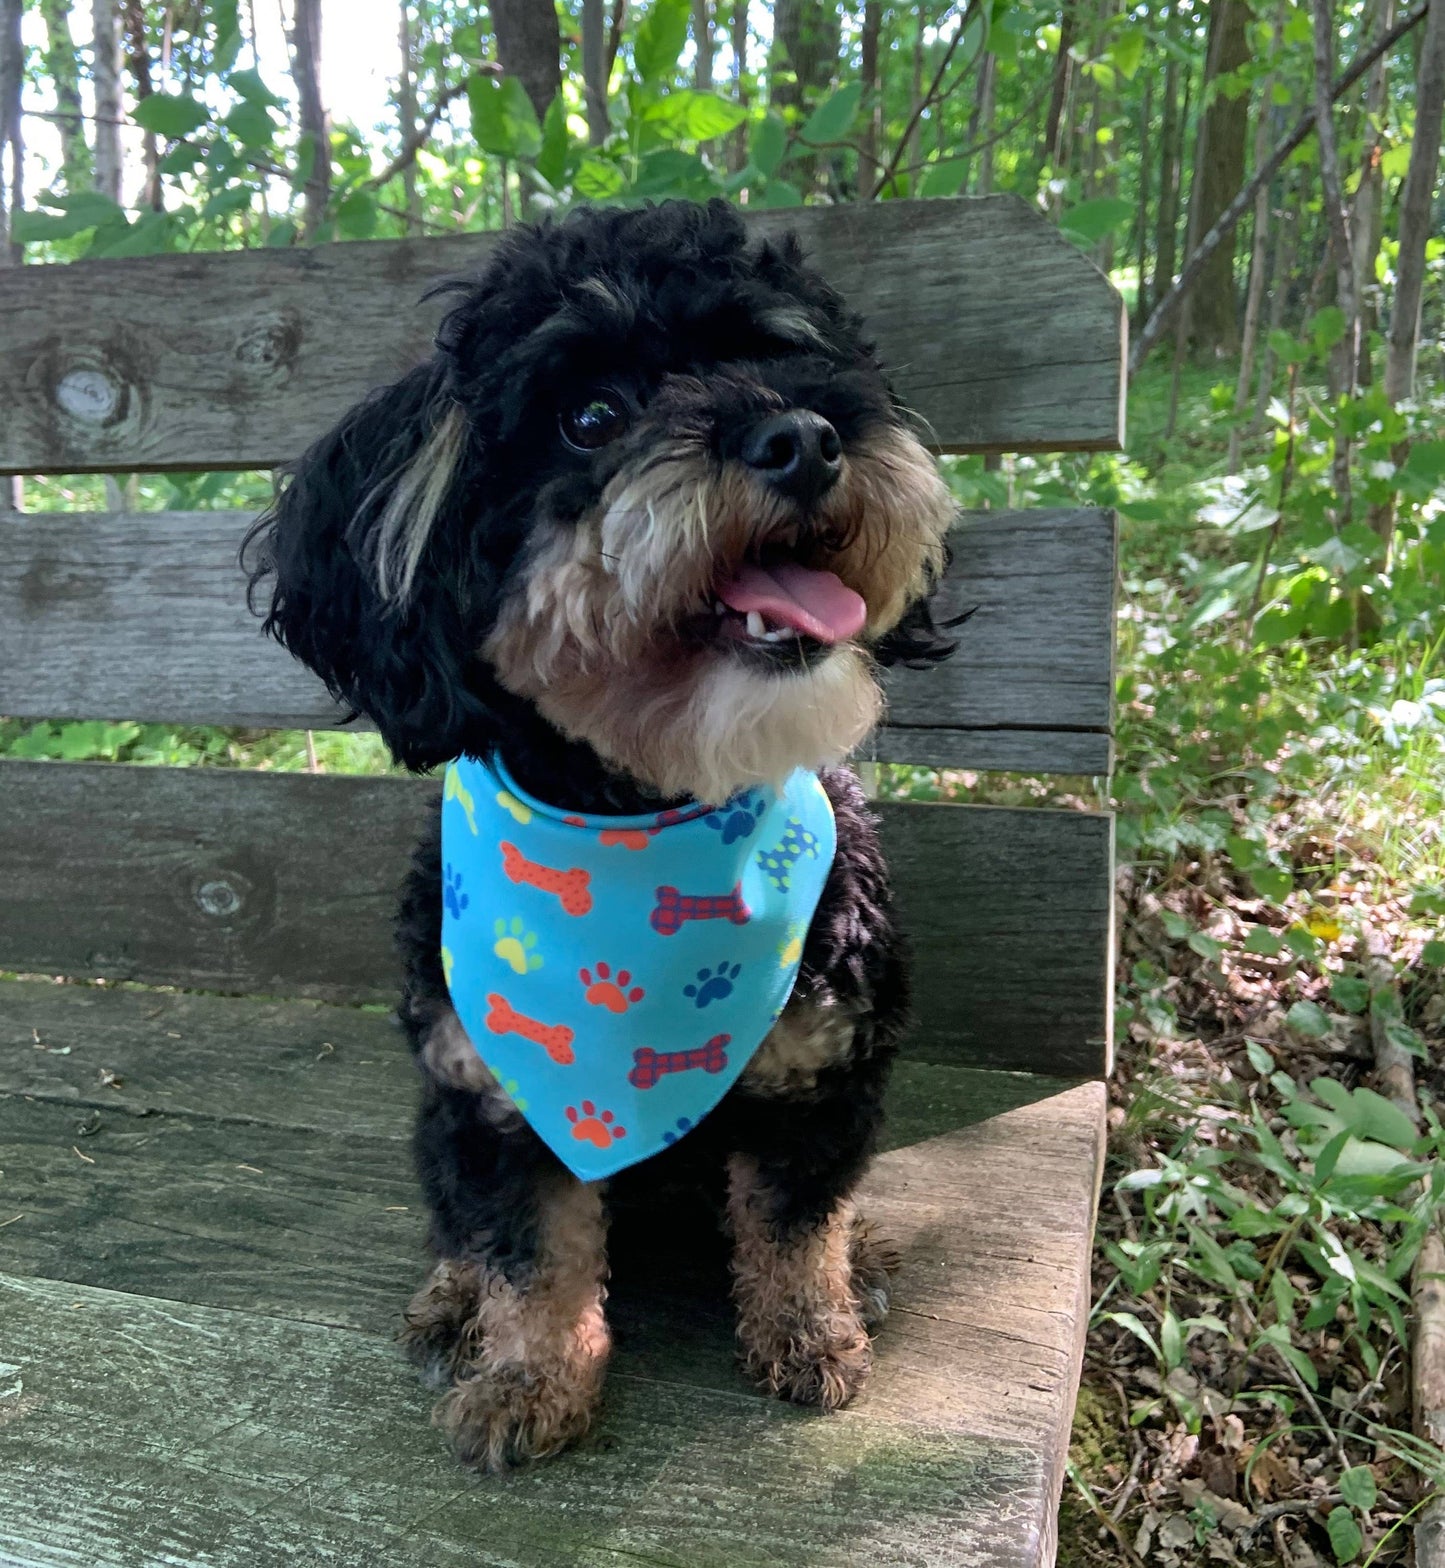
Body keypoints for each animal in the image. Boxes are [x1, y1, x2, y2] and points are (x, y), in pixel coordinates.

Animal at [242, 196, 952, 1467]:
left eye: (785, 356)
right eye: (589, 415)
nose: (805, 437)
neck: (644, 811)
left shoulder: (820, 1077)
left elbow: (794, 1224)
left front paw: (808, 1330)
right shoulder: (493, 1105)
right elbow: (532, 1255)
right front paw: (528, 1379)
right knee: (459, 1229)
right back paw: (451, 1300)